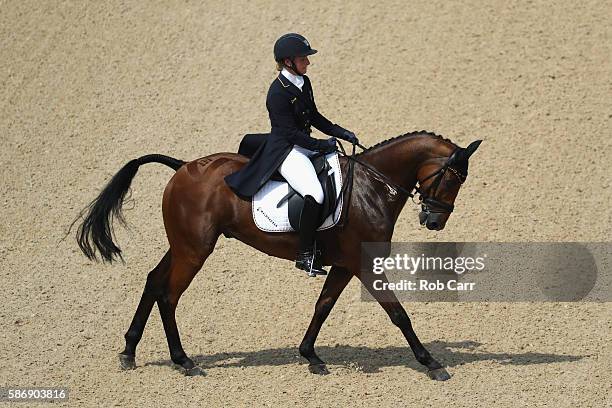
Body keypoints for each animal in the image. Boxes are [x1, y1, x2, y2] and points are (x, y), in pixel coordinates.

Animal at [74, 131, 480, 382]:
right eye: (453, 178)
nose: (434, 221)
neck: (371, 187)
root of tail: (184, 166)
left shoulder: (344, 265)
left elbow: (323, 306)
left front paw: (310, 356)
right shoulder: (364, 265)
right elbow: (398, 314)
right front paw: (432, 363)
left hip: (183, 245)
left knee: (153, 281)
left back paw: (129, 351)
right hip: (194, 251)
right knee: (169, 295)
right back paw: (183, 360)